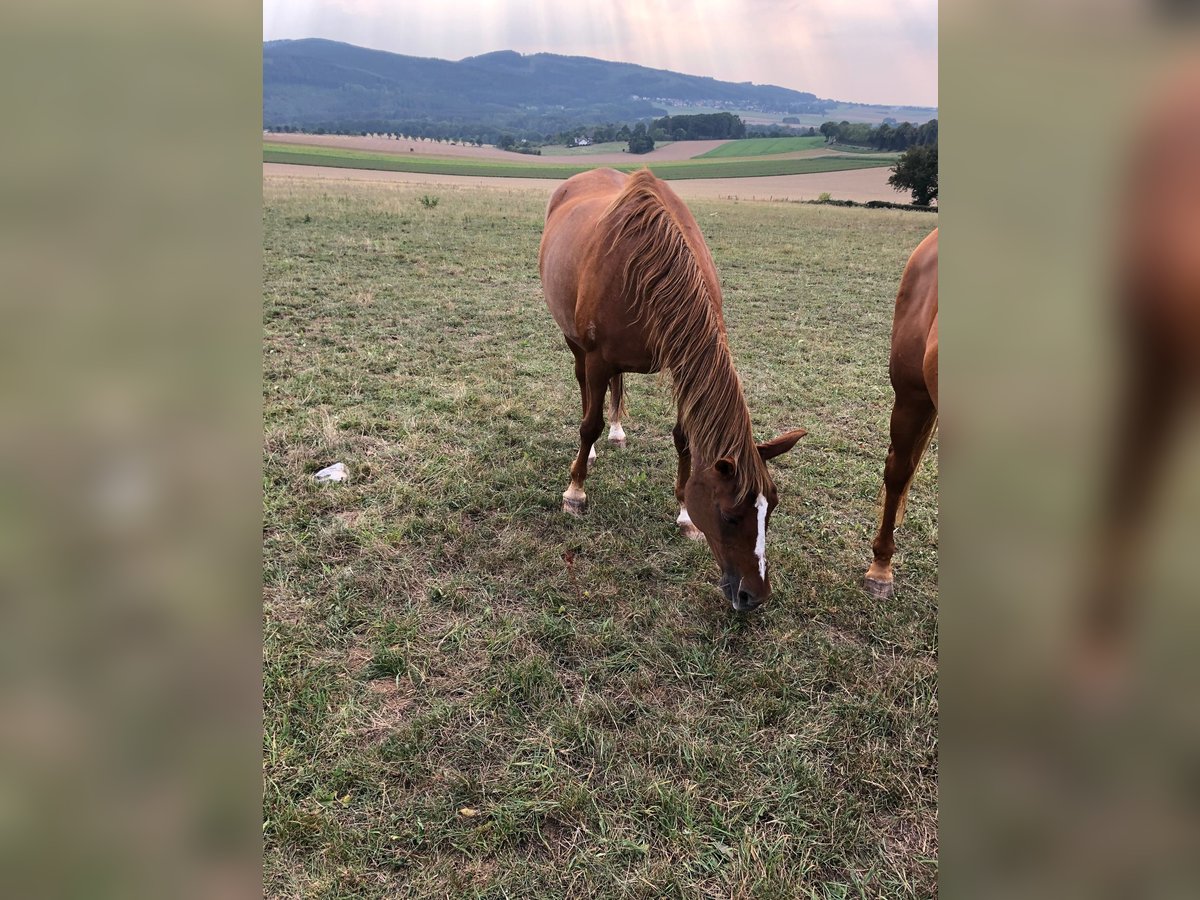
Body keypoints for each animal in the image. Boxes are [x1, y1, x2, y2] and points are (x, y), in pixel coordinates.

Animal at [537, 169, 806, 614]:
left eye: (773, 508)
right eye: (730, 515)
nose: (755, 596)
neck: (646, 266)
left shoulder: (682, 361)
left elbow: (683, 439)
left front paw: (683, 512)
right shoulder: (596, 358)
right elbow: (588, 424)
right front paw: (575, 493)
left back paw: (618, 431)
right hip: (575, 344)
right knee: (584, 391)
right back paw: (588, 456)